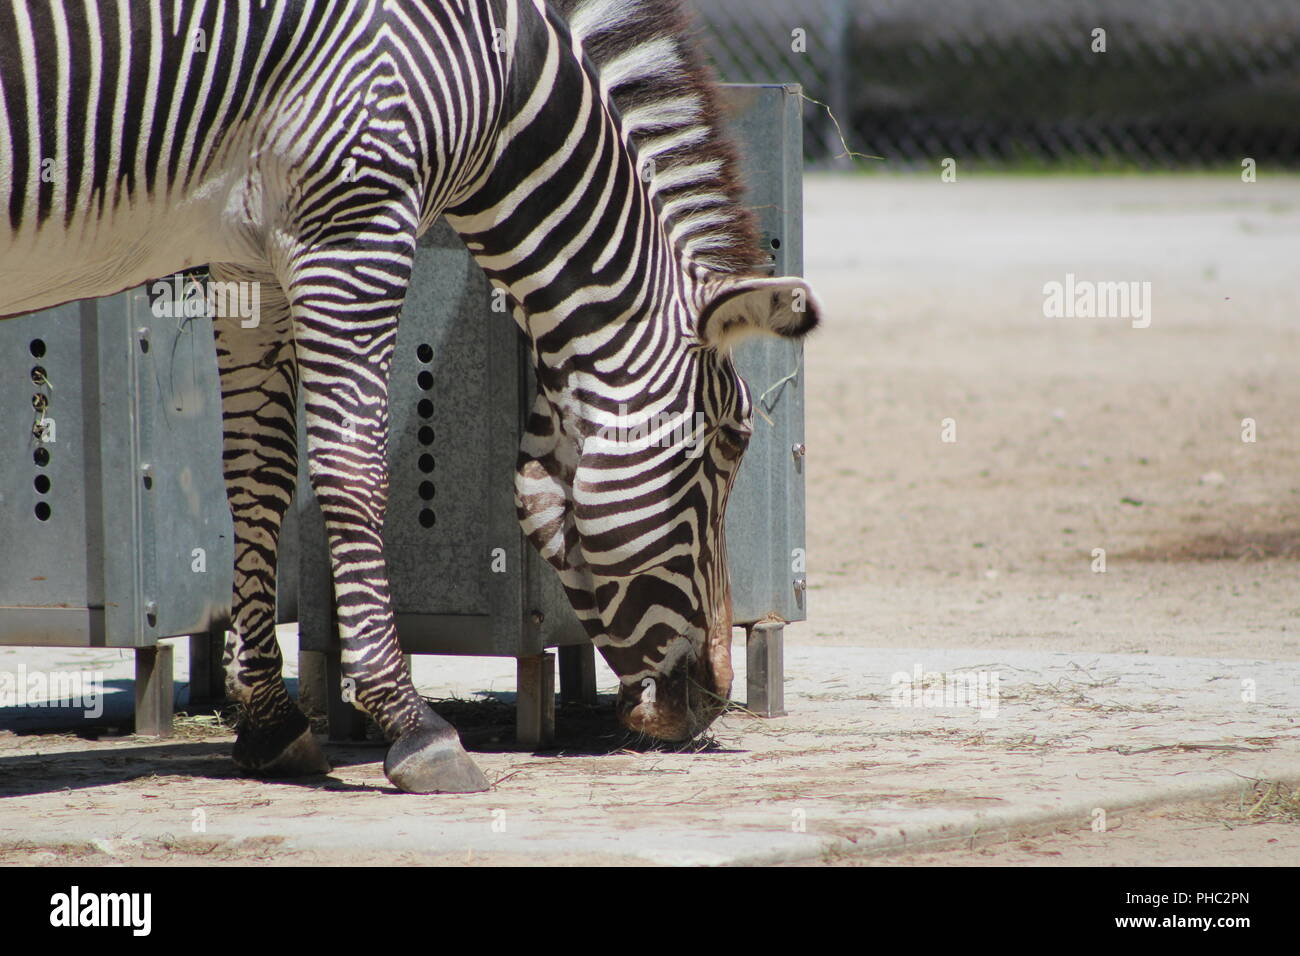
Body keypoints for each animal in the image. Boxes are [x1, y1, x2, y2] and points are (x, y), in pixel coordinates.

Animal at [0, 0, 821, 793]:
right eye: (728, 444)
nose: (711, 699)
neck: (494, 80)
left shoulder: (249, 263)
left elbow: (260, 475)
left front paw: (269, 721)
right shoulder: (353, 228)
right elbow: (350, 471)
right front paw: (414, 727)